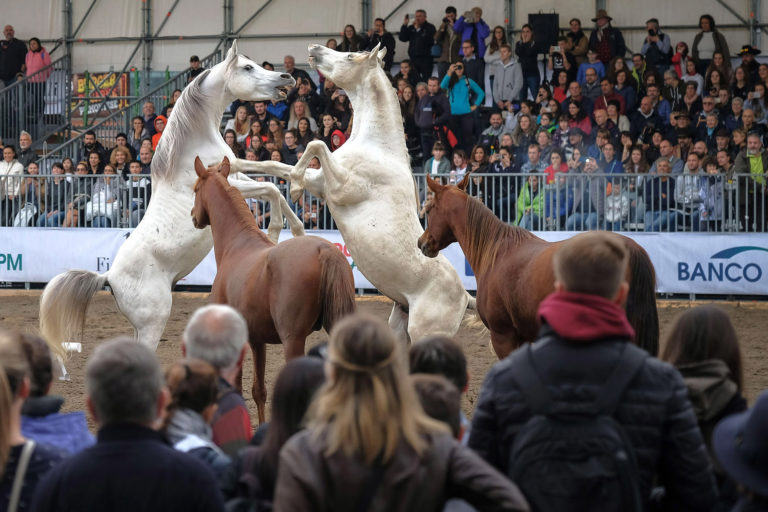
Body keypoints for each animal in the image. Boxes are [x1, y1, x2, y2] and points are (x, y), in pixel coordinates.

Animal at [190, 158, 356, 422]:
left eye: (196, 189)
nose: (193, 216)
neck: (237, 245)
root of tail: (324, 250)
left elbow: (237, 387)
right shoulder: (258, 340)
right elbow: (259, 390)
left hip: (293, 340)